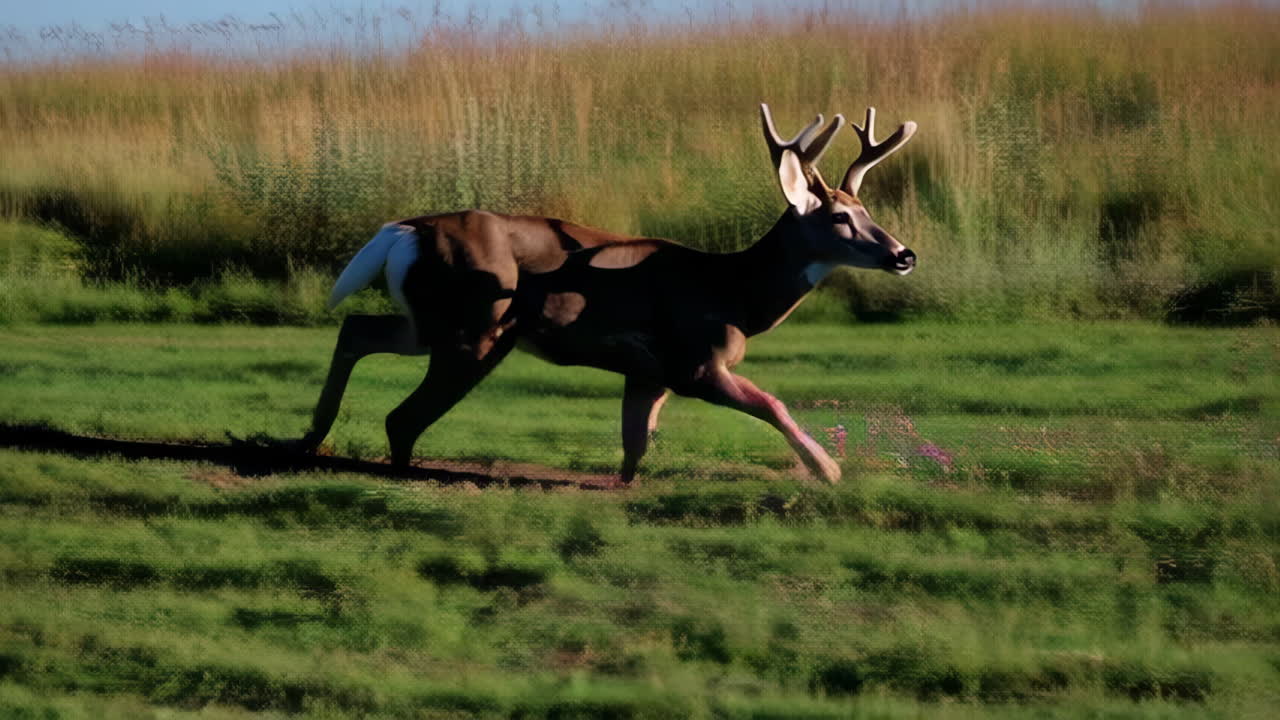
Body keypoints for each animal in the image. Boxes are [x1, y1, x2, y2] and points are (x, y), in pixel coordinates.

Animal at [295, 104, 917, 486]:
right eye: (840, 218)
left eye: (868, 210)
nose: (904, 254)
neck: (735, 295)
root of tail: (405, 230)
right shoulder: (694, 361)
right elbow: (772, 403)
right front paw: (829, 472)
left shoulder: (647, 373)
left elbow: (635, 443)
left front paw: (626, 483)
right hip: (475, 328)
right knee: (400, 416)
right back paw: (395, 468)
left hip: (431, 321)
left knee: (357, 330)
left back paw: (312, 437)